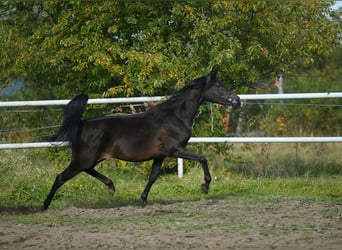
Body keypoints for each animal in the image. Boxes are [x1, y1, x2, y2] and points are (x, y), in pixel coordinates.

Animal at [43, 68, 240, 209]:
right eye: (219, 85)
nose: (237, 100)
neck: (175, 116)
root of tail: (82, 123)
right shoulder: (174, 149)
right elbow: (202, 158)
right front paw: (205, 187)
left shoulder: (160, 155)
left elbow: (153, 176)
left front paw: (144, 200)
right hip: (84, 158)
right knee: (61, 177)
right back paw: (44, 205)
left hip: (92, 158)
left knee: (88, 170)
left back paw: (111, 186)